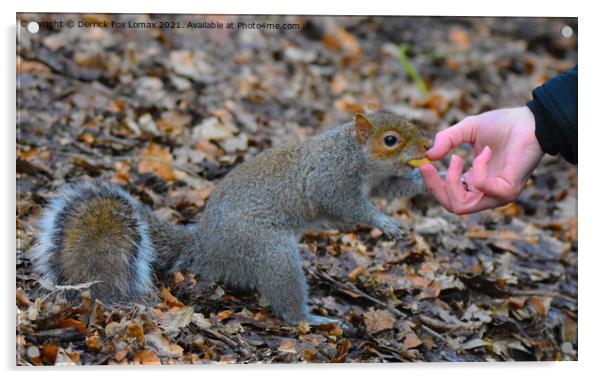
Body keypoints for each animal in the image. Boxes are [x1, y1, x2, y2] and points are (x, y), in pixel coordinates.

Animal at [30, 113, 432, 326]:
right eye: (391, 139)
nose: (428, 145)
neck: (354, 153)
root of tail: (204, 249)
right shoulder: (329, 180)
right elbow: (346, 206)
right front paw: (383, 222)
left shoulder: (379, 181)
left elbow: (392, 188)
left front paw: (423, 181)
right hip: (267, 250)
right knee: (285, 297)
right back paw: (309, 318)